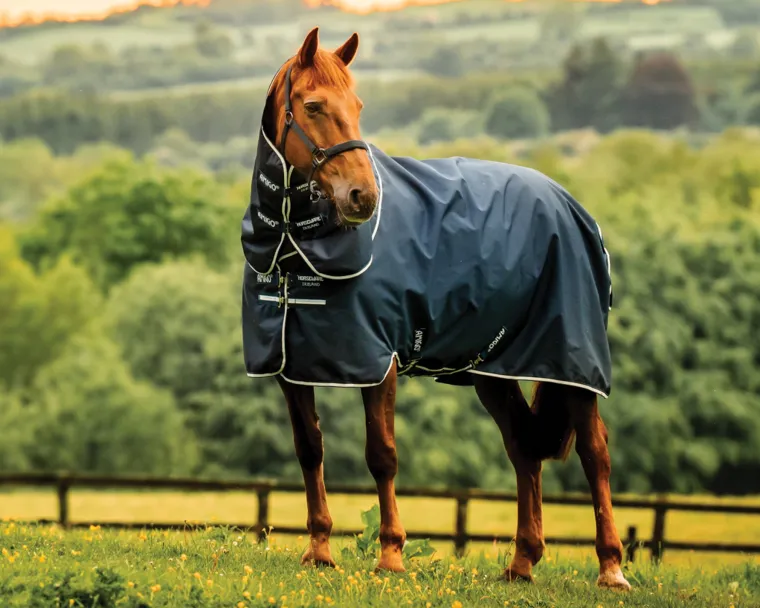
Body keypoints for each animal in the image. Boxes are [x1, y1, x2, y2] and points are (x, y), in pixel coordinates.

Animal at [240, 27, 631, 591]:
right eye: (312, 106)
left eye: (357, 106)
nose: (362, 197)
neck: (296, 248)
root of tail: (571, 206)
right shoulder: (291, 367)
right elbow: (309, 449)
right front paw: (318, 550)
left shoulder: (378, 363)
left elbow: (381, 455)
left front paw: (390, 555)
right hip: (494, 371)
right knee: (523, 449)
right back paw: (522, 562)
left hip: (571, 365)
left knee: (594, 453)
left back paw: (611, 567)